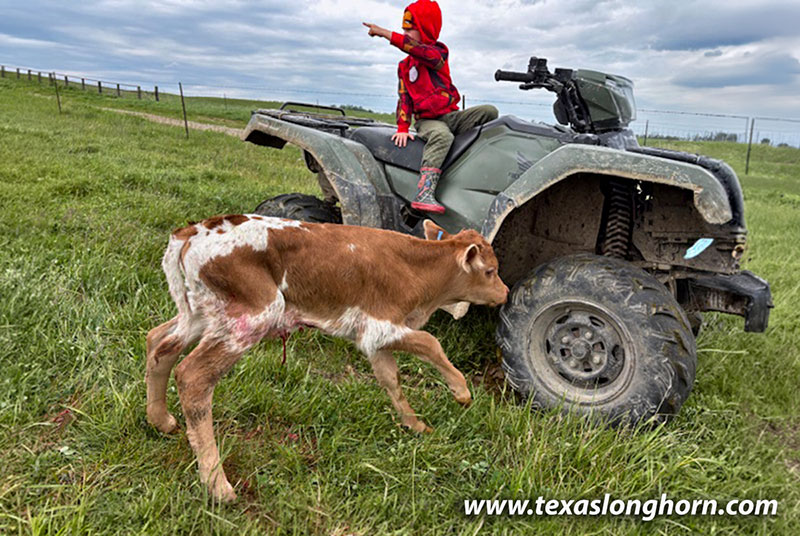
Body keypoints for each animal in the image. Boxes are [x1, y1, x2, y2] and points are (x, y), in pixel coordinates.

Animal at [145, 215, 508, 501]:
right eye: (490, 271)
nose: (505, 294)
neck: (417, 272)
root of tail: (194, 230)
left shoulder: (373, 339)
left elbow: (390, 378)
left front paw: (414, 424)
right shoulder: (380, 325)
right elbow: (431, 343)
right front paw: (461, 392)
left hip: (201, 312)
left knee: (159, 342)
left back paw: (161, 420)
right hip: (252, 313)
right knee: (192, 375)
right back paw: (218, 486)